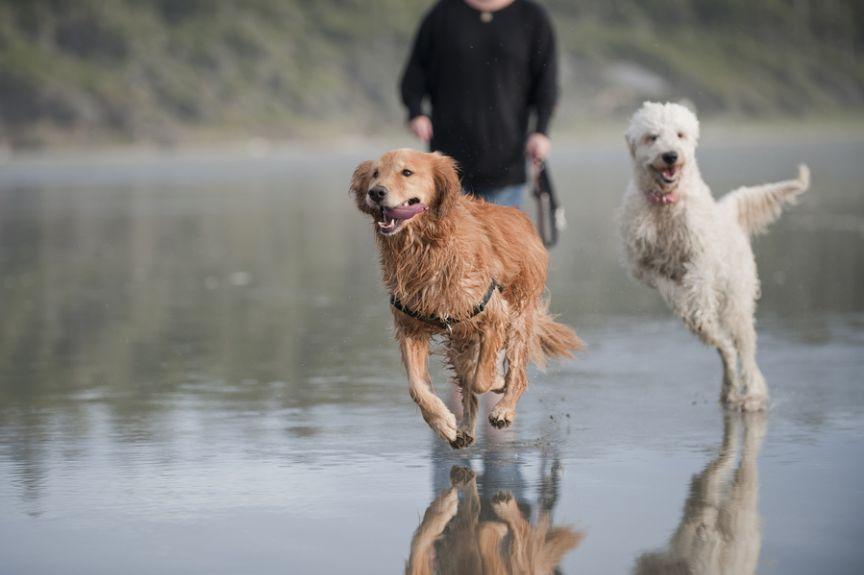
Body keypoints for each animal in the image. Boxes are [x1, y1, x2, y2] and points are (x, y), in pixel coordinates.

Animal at [620, 102, 808, 410]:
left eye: (680, 134)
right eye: (652, 137)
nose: (670, 156)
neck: (666, 204)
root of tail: (728, 212)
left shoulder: (701, 254)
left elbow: (699, 281)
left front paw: (698, 308)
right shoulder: (644, 266)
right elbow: (669, 288)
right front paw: (686, 307)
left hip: (737, 301)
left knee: (744, 349)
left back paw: (752, 395)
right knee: (725, 349)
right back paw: (729, 388)